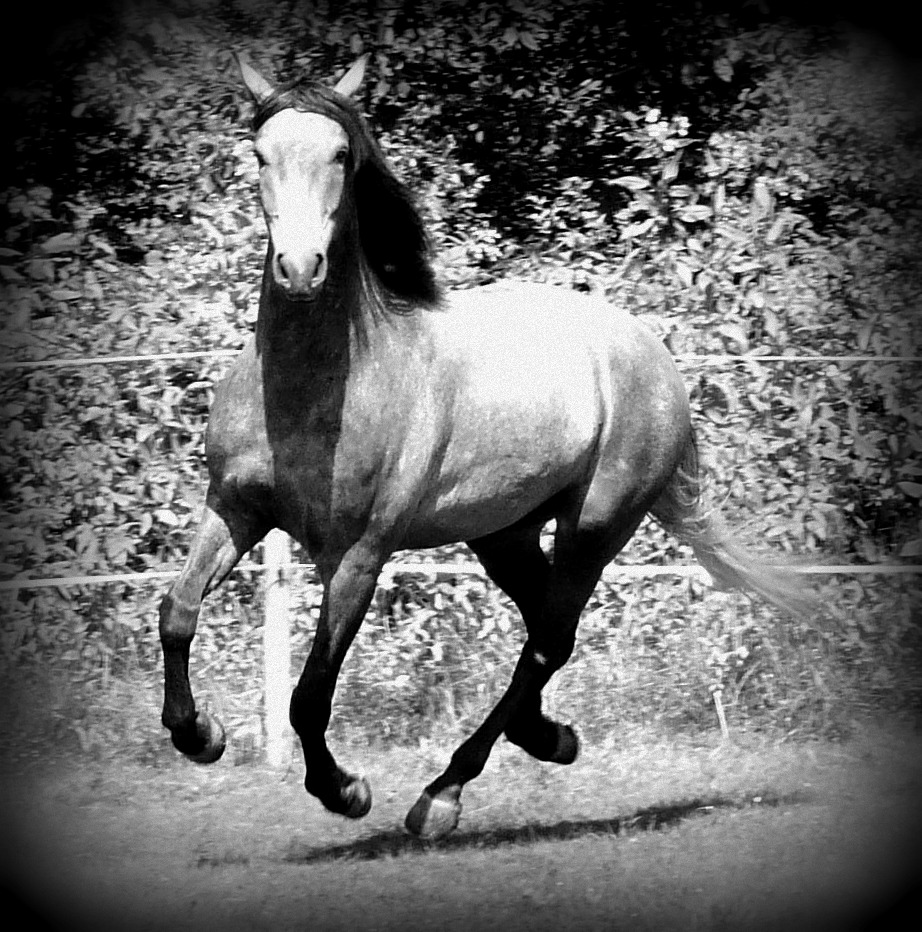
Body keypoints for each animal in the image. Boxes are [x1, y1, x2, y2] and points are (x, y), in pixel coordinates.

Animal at [160, 60, 812, 844]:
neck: (313, 387)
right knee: (545, 630)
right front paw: (200, 736)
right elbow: (177, 613)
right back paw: (547, 738)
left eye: (341, 155)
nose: (299, 267)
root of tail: (655, 356)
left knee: (549, 639)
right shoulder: (233, 510)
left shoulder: (357, 556)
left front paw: (345, 791)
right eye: (259, 155)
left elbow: (309, 695)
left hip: (596, 525)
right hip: (505, 534)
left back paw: (444, 795)